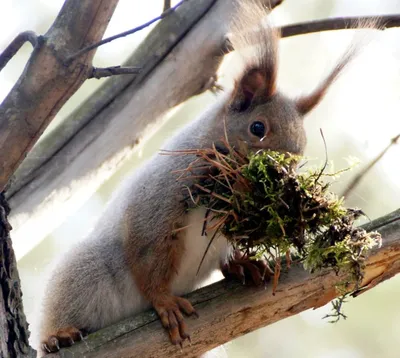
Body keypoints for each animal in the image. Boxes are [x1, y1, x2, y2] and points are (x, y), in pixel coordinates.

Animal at [38, 0, 356, 354]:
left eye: (299, 154)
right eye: (257, 128)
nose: (279, 180)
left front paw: (242, 263)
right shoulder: (158, 198)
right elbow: (149, 254)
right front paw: (164, 301)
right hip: (87, 269)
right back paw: (58, 335)